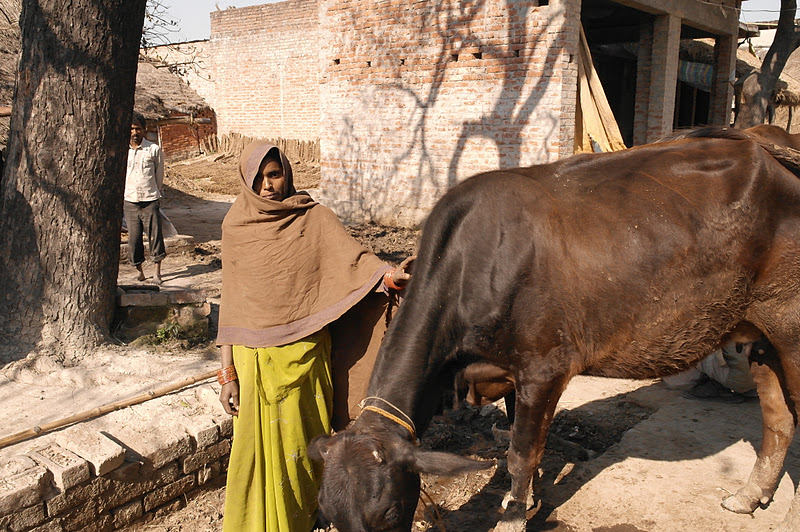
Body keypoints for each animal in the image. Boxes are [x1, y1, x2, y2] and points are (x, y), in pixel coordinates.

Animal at [310, 130, 800, 532]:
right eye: (330, 516)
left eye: (390, 513)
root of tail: (767, 144)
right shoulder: (510, 372)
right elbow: (523, 443)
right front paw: (524, 502)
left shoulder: (543, 368)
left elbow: (522, 451)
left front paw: (511, 518)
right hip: (759, 333)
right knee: (779, 419)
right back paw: (747, 497)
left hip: (791, 330)